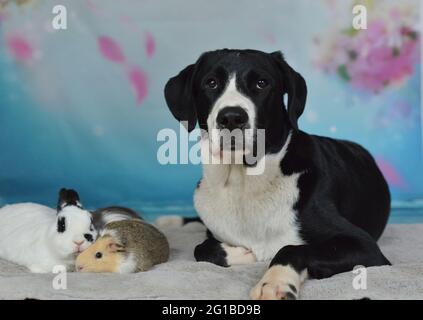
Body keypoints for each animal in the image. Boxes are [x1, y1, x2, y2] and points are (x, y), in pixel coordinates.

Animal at [161, 49, 390, 300]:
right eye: (211, 83)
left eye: (262, 83)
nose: (231, 117)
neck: (243, 181)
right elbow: (201, 248)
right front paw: (243, 253)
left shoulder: (364, 245)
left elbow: (290, 248)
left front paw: (275, 281)